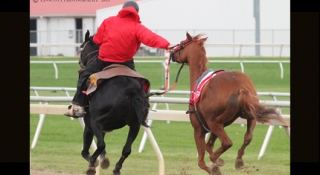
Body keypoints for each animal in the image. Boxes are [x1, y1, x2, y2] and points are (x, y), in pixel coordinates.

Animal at [78, 30, 149, 175]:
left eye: (81, 47)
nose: (79, 63)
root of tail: (130, 90)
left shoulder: (89, 125)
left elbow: (85, 151)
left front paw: (95, 163)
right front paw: (102, 160)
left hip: (96, 121)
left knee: (100, 145)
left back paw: (93, 163)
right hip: (135, 125)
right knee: (126, 149)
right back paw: (116, 168)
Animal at [170, 32, 290, 174]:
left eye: (182, 43)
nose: (172, 53)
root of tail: (241, 87)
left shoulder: (199, 129)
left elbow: (201, 160)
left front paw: (214, 166)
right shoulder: (216, 127)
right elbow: (209, 145)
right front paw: (218, 162)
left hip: (214, 122)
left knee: (227, 142)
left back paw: (215, 160)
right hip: (249, 115)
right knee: (248, 137)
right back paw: (238, 160)